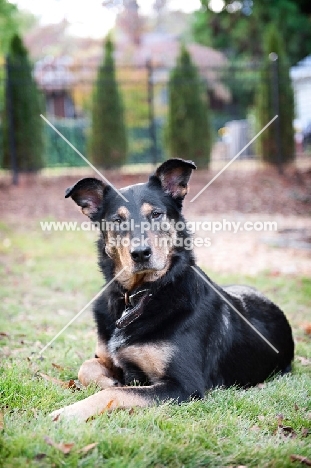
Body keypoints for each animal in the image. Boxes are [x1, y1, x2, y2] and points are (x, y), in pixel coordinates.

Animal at [51, 158, 294, 420]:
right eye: (117, 220)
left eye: (156, 214)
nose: (140, 253)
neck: (141, 296)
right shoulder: (104, 356)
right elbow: (86, 368)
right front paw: (109, 380)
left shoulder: (184, 386)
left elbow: (117, 392)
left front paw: (70, 411)